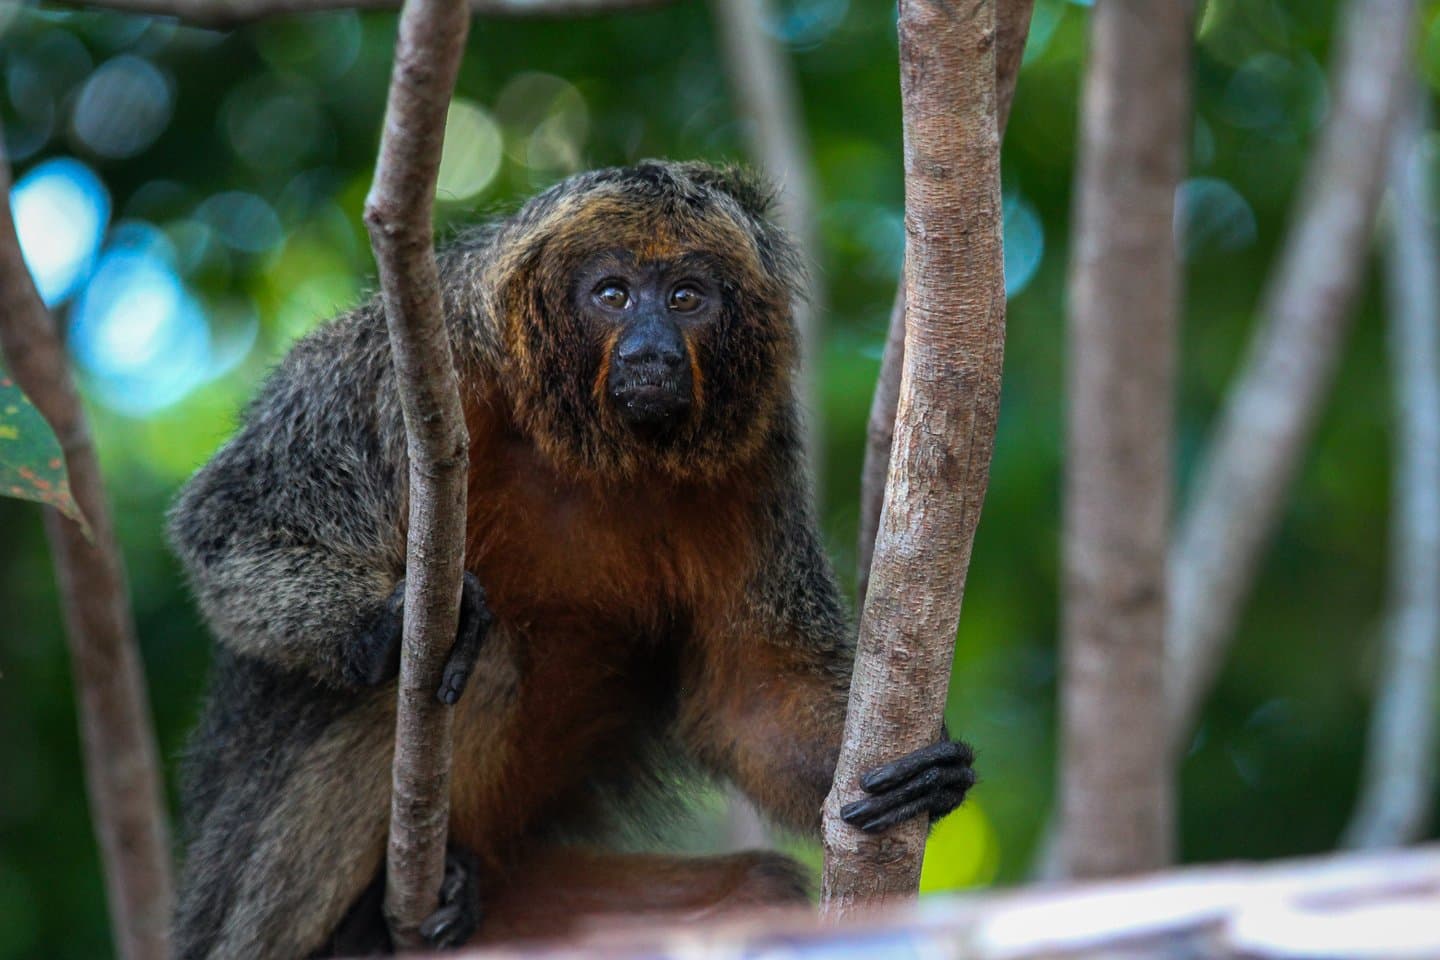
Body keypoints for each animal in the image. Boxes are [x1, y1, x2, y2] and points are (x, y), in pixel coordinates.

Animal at [168, 160, 977, 960]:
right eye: (612, 295)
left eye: (686, 297)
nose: (650, 350)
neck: (583, 452)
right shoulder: (401, 368)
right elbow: (229, 520)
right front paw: (384, 624)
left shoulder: (754, 461)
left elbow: (750, 699)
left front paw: (927, 778)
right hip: (245, 910)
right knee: (482, 660)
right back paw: (364, 924)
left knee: (760, 888)